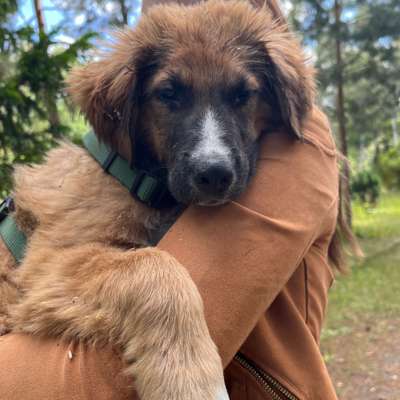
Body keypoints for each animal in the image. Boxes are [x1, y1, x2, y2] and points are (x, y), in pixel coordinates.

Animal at [0, 1, 314, 398]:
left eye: (243, 95)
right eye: (168, 94)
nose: (214, 174)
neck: (137, 179)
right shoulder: (47, 266)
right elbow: (154, 266)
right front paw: (189, 380)